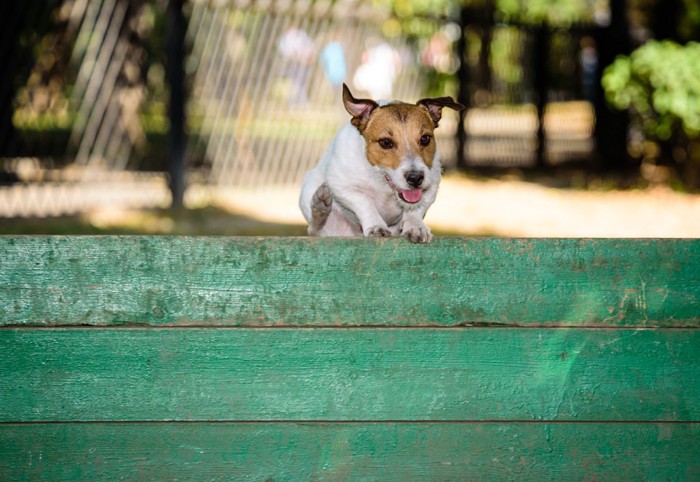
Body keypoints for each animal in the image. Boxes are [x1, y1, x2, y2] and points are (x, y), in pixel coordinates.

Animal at [298, 84, 462, 243]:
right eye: (386, 142)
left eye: (425, 139)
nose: (416, 178)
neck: (383, 182)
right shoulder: (341, 185)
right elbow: (365, 202)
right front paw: (376, 226)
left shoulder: (431, 186)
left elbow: (416, 208)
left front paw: (415, 226)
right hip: (311, 190)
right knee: (315, 229)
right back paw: (320, 206)